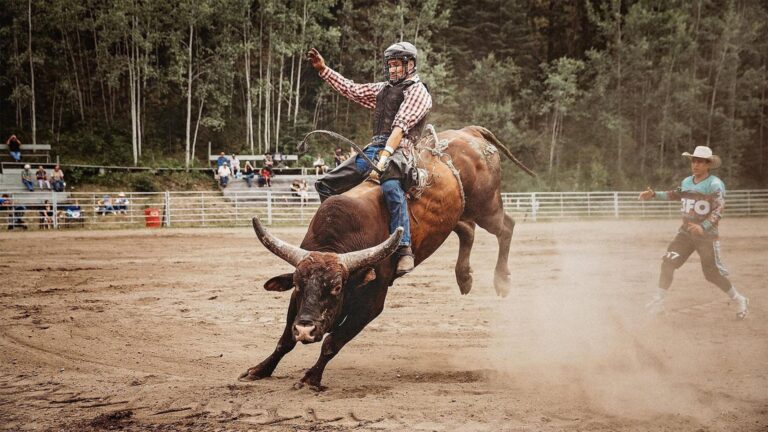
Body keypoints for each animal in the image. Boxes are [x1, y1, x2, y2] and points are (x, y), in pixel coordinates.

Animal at [240, 124, 536, 388]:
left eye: (336, 287)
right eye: (299, 285)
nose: (305, 329)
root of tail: (469, 132)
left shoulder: (373, 301)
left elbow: (332, 343)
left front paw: (311, 378)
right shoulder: (296, 300)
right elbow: (285, 340)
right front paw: (259, 369)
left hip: (487, 207)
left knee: (506, 227)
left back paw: (501, 280)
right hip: (458, 215)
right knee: (467, 230)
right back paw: (464, 277)